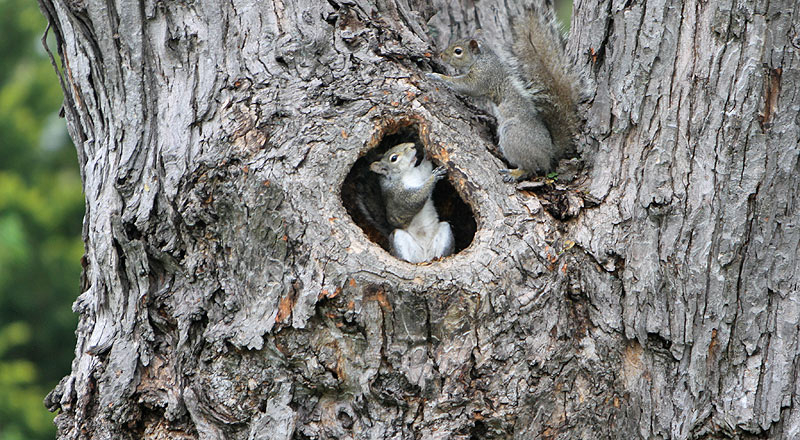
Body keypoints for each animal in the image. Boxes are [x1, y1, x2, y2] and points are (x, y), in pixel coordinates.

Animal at [428, 3, 584, 182]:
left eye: (458, 51)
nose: (441, 55)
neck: (482, 58)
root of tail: (549, 153)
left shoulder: (484, 76)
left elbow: (468, 86)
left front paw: (437, 76)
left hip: (512, 134)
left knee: (530, 168)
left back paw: (514, 173)